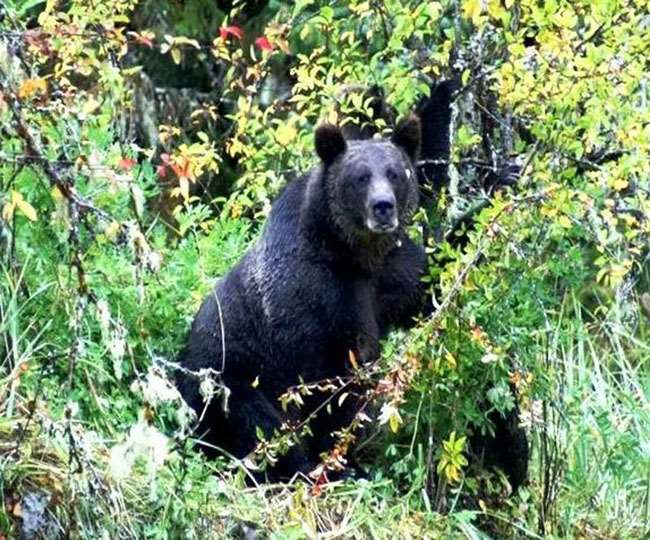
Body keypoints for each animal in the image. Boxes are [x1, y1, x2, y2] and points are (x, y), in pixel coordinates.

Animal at [176, 114, 426, 480]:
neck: (353, 253)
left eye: (395, 172)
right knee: (261, 426)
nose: (383, 207)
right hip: (225, 382)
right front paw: (336, 461)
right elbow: (325, 383)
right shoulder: (309, 296)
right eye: (360, 177)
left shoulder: (392, 273)